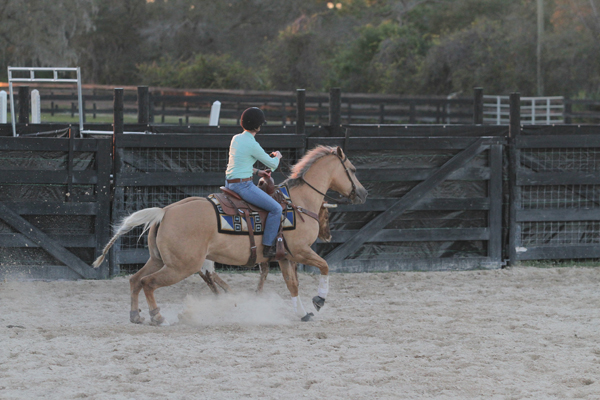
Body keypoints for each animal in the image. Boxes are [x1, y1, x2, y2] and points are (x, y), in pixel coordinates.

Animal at [92, 145, 366, 324]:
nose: (363, 193)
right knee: (149, 283)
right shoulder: (300, 251)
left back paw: (135, 315)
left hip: (159, 260)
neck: (297, 203)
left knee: (135, 280)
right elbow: (325, 266)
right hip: (182, 266)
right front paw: (318, 301)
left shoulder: (285, 256)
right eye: (352, 169)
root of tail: (165, 211)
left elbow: (292, 284)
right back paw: (157, 315)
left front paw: (302, 313)